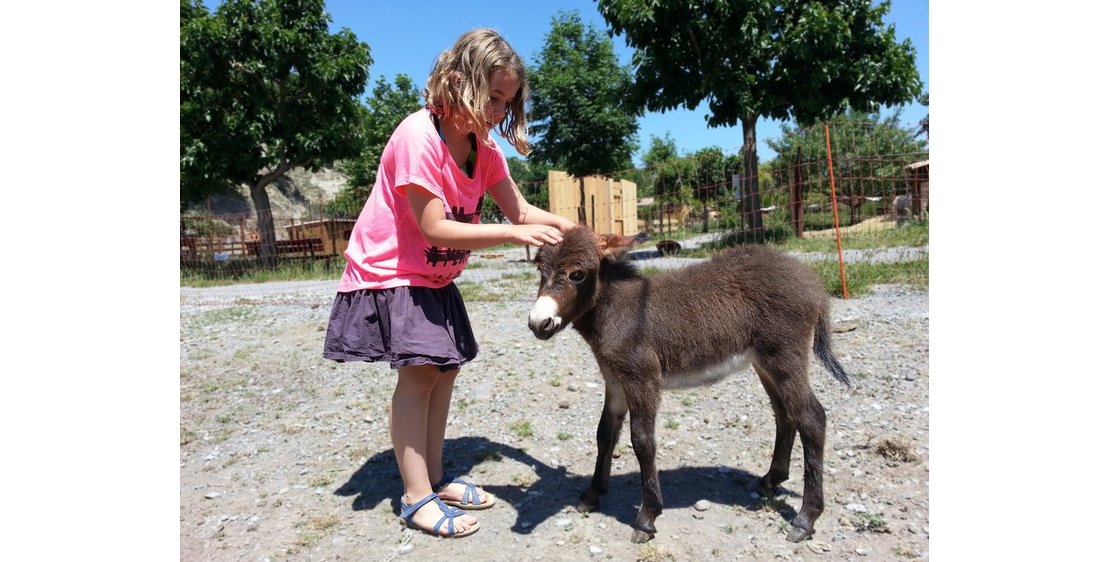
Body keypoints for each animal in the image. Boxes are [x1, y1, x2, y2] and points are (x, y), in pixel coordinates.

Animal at [528, 226, 848, 542]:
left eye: (577, 274)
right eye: (540, 270)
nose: (537, 324)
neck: (617, 311)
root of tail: (811, 281)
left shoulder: (642, 380)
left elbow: (642, 442)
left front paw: (647, 517)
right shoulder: (615, 383)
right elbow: (605, 435)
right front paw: (592, 494)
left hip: (784, 357)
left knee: (811, 418)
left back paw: (805, 518)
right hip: (765, 363)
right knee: (785, 415)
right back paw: (771, 479)